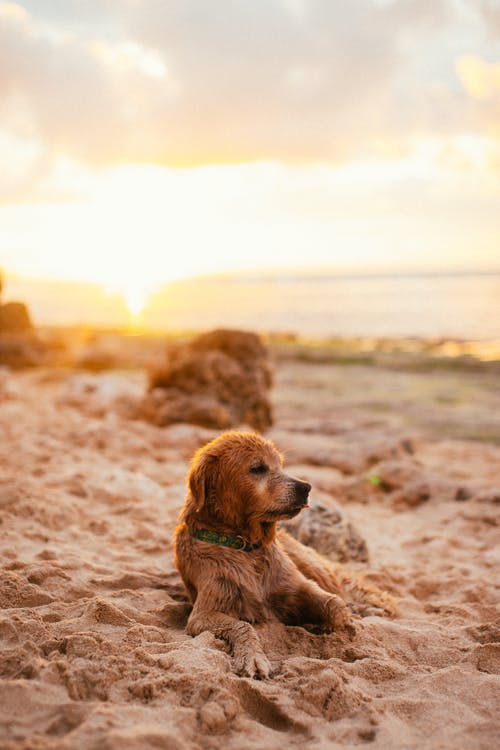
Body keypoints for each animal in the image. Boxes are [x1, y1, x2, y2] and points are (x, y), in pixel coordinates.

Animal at [174, 428, 396, 680]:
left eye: (280, 465)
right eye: (258, 468)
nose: (305, 488)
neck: (244, 545)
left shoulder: (296, 584)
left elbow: (336, 607)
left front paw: (319, 623)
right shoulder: (203, 613)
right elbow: (243, 625)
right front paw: (252, 658)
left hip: (314, 566)